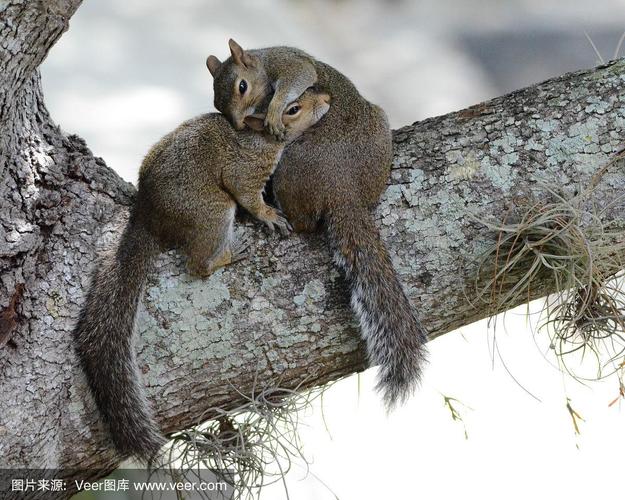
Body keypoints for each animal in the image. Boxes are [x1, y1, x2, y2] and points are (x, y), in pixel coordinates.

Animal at [72, 87, 332, 460]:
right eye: (293, 109)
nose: (327, 100)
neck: (260, 139)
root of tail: (148, 217)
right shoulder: (244, 171)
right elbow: (249, 196)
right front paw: (269, 214)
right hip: (212, 211)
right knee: (197, 264)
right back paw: (226, 256)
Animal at [207, 40, 426, 410]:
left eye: (242, 86)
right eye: (215, 101)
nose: (237, 124)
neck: (262, 62)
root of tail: (343, 187)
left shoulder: (286, 62)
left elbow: (300, 73)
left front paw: (273, 111)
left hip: (288, 169)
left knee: (303, 223)